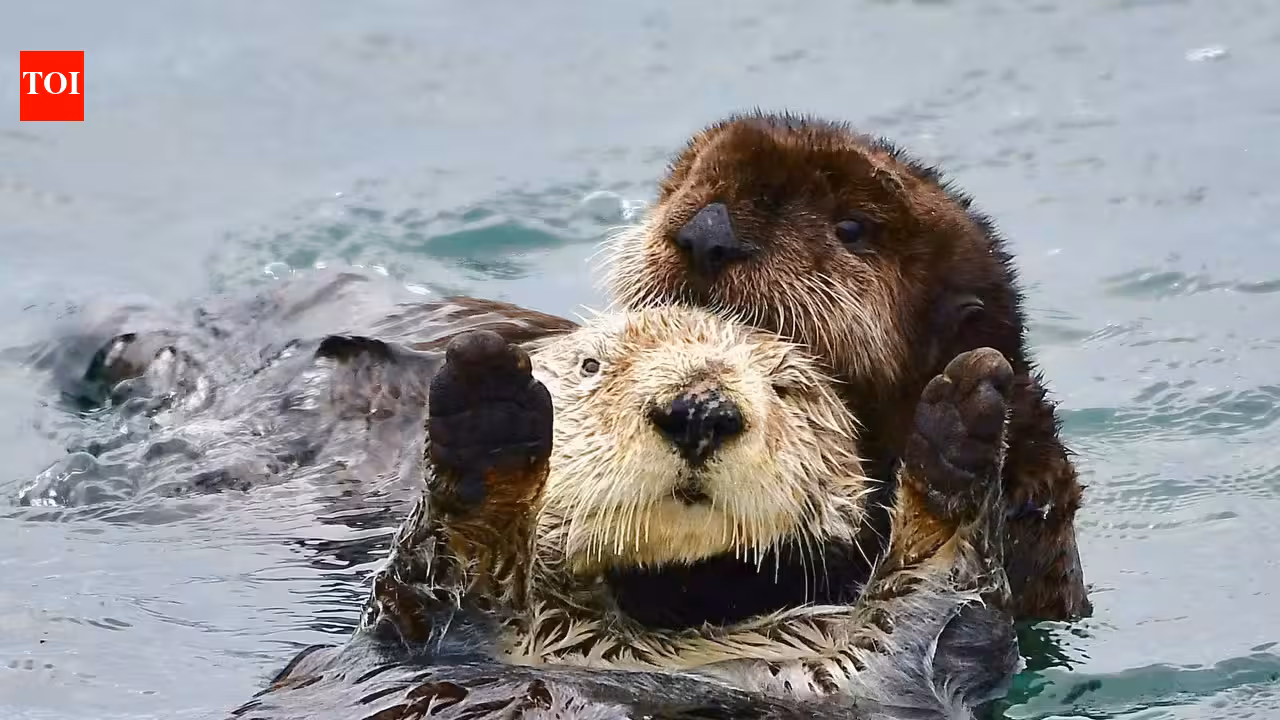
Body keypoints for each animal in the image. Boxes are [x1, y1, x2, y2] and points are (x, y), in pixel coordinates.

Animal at [235, 305, 1022, 719]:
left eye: (787, 389)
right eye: (591, 368)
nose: (699, 407)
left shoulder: (864, 678)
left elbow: (942, 609)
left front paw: (962, 426)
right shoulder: (421, 630)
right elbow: (441, 573)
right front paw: (487, 402)